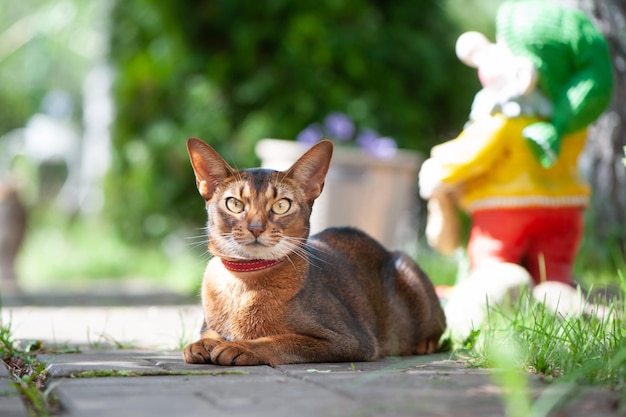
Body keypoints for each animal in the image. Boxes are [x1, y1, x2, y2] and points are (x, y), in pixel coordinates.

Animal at [180, 136, 444, 364]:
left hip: (409, 273)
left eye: (281, 205)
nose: (256, 228)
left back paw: (426, 344)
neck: (244, 281)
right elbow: (208, 333)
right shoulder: (208, 324)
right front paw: (201, 344)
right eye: (234, 204)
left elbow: (280, 340)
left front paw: (240, 346)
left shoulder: (350, 339)